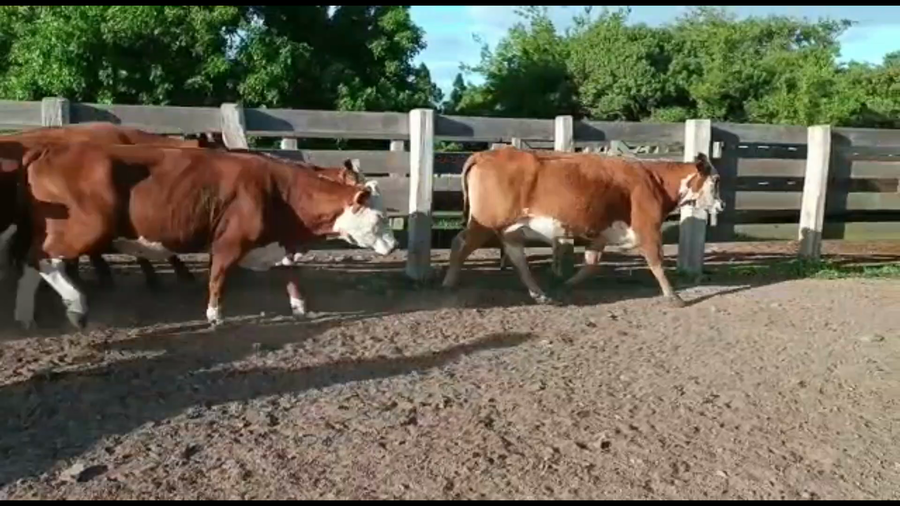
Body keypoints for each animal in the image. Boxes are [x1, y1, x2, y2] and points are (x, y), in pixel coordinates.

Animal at [9, 141, 397, 330]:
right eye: (379, 217)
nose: (394, 245)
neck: (279, 190)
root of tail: (48, 149)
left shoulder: (276, 243)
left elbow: (291, 274)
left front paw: (300, 307)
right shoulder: (229, 242)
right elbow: (218, 278)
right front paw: (215, 316)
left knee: (31, 262)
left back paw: (26, 315)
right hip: (86, 227)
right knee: (42, 259)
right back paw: (76, 304)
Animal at [441, 147, 724, 307]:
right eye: (716, 180)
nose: (721, 205)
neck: (654, 180)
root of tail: (483, 154)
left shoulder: (601, 235)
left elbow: (591, 264)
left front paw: (567, 284)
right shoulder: (648, 229)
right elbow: (657, 263)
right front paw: (673, 296)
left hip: (510, 229)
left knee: (517, 257)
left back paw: (540, 294)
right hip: (486, 223)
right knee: (460, 243)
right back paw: (449, 283)